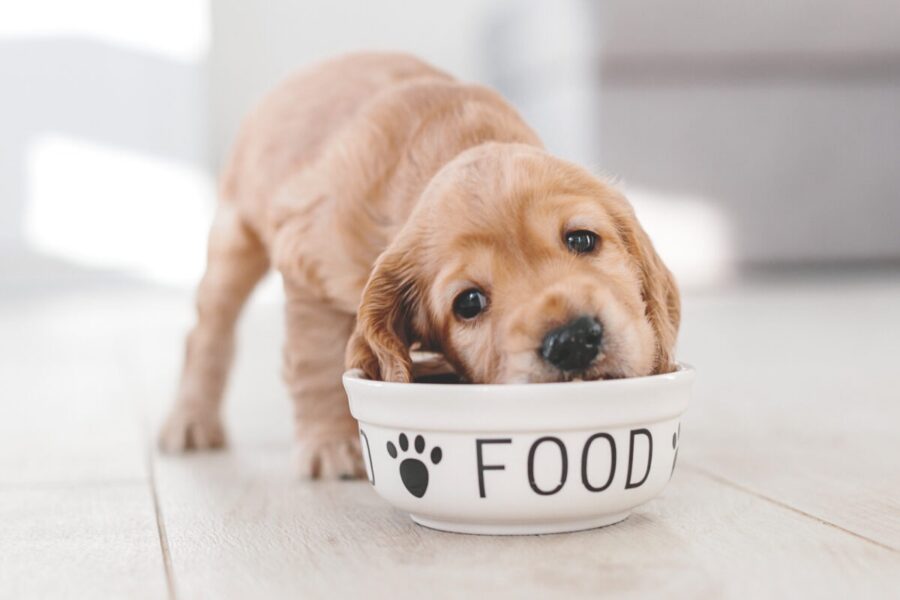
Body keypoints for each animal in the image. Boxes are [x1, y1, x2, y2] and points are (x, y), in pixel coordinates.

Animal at [158, 51, 680, 478]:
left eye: (582, 239)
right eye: (468, 302)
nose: (572, 341)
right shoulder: (308, 264)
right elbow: (316, 358)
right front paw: (329, 445)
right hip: (234, 238)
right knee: (207, 332)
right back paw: (190, 421)